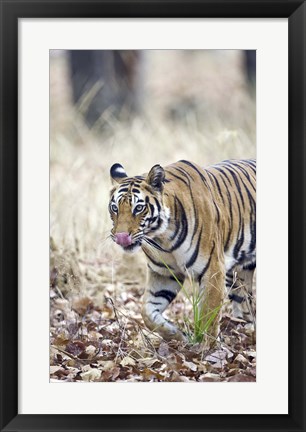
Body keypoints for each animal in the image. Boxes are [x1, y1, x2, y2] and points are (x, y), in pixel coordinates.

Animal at [108, 159, 256, 344]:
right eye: (114, 208)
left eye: (139, 208)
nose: (120, 237)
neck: (162, 238)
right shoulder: (163, 274)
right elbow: (147, 312)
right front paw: (176, 334)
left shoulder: (213, 270)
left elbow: (209, 315)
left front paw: (207, 348)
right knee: (244, 303)